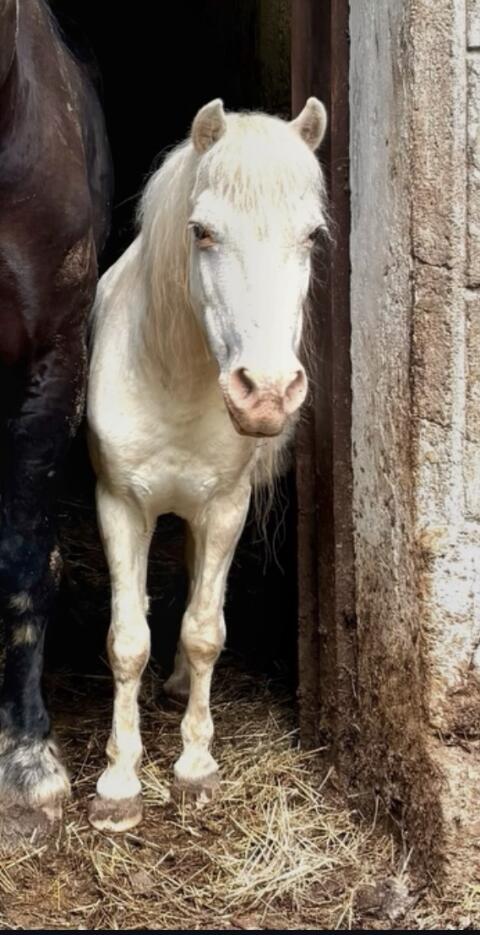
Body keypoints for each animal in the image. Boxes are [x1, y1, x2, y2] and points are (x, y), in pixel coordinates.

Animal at [87, 97, 327, 832]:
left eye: (312, 236)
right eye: (202, 232)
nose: (267, 393)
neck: (175, 376)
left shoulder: (225, 508)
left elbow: (203, 631)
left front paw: (194, 767)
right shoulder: (119, 507)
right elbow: (126, 638)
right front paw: (119, 783)